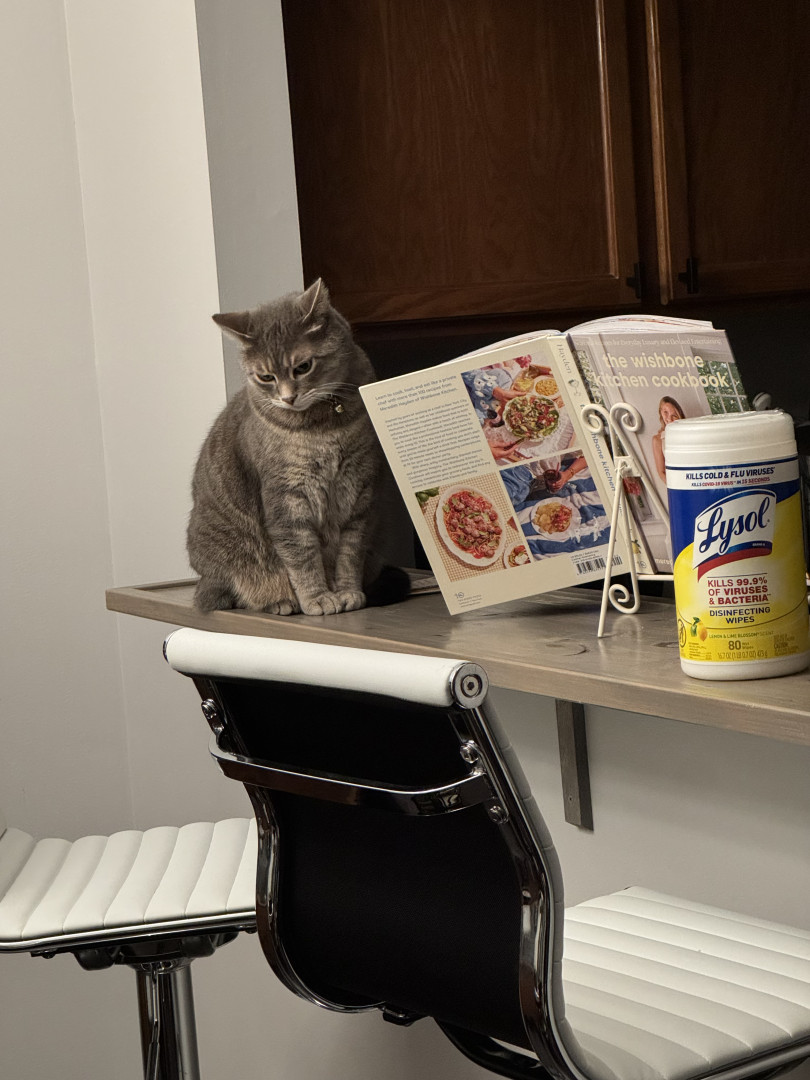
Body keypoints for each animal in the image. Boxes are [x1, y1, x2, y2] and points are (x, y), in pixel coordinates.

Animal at [187, 279, 409, 615]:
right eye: (266, 376)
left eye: (303, 367)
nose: (288, 398)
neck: (324, 426)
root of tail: (201, 582)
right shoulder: (287, 495)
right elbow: (301, 555)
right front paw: (318, 598)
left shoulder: (359, 490)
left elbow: (350, 553)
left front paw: (347, 592)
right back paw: (279, 601)